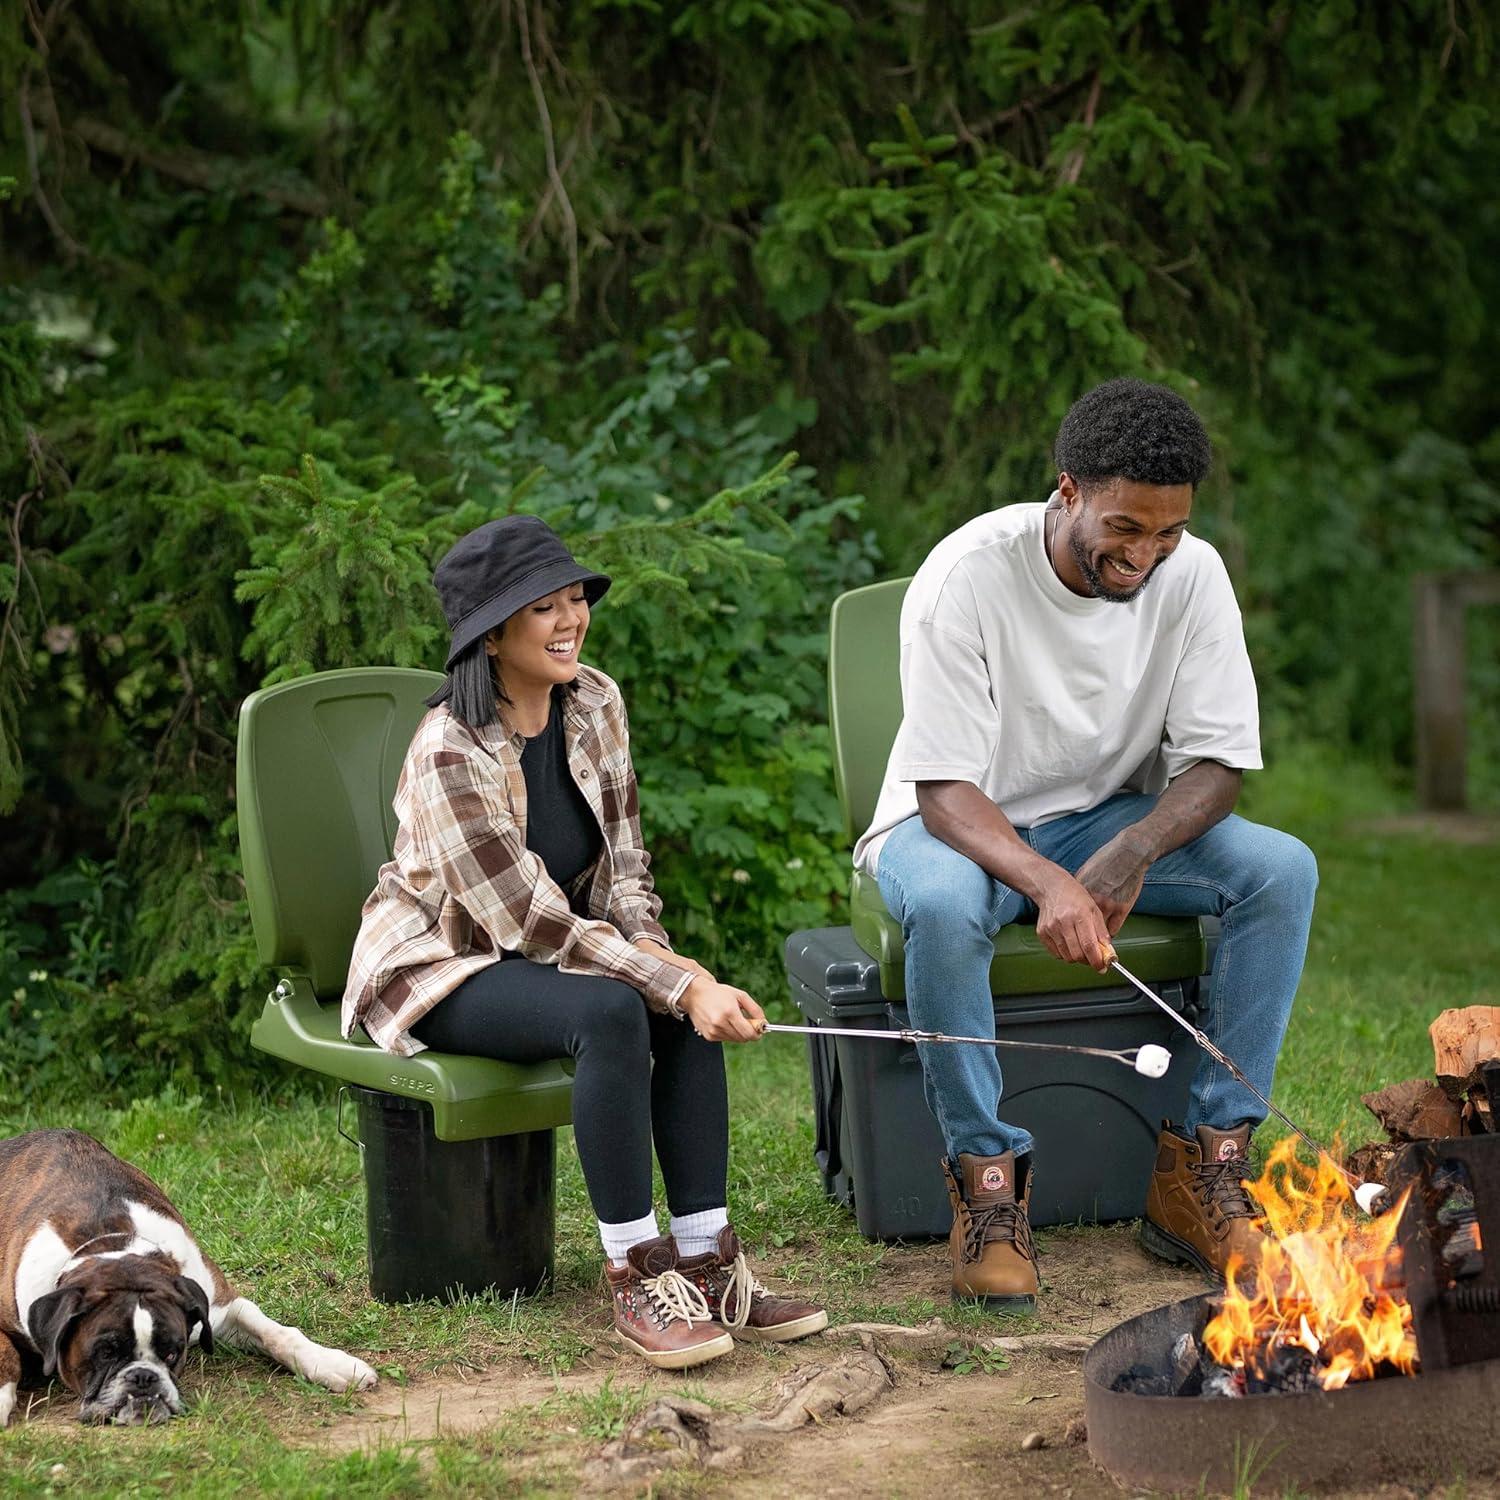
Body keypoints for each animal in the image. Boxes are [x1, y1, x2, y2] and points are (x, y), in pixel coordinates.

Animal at [1, 1128, 375, 1422]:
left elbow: (276, 1332)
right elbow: (6, 1353)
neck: (107, 1238)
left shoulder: (220, 1306)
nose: (143, 1378)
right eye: (105, 1352)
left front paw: (329, 1362)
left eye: (172, 1353)